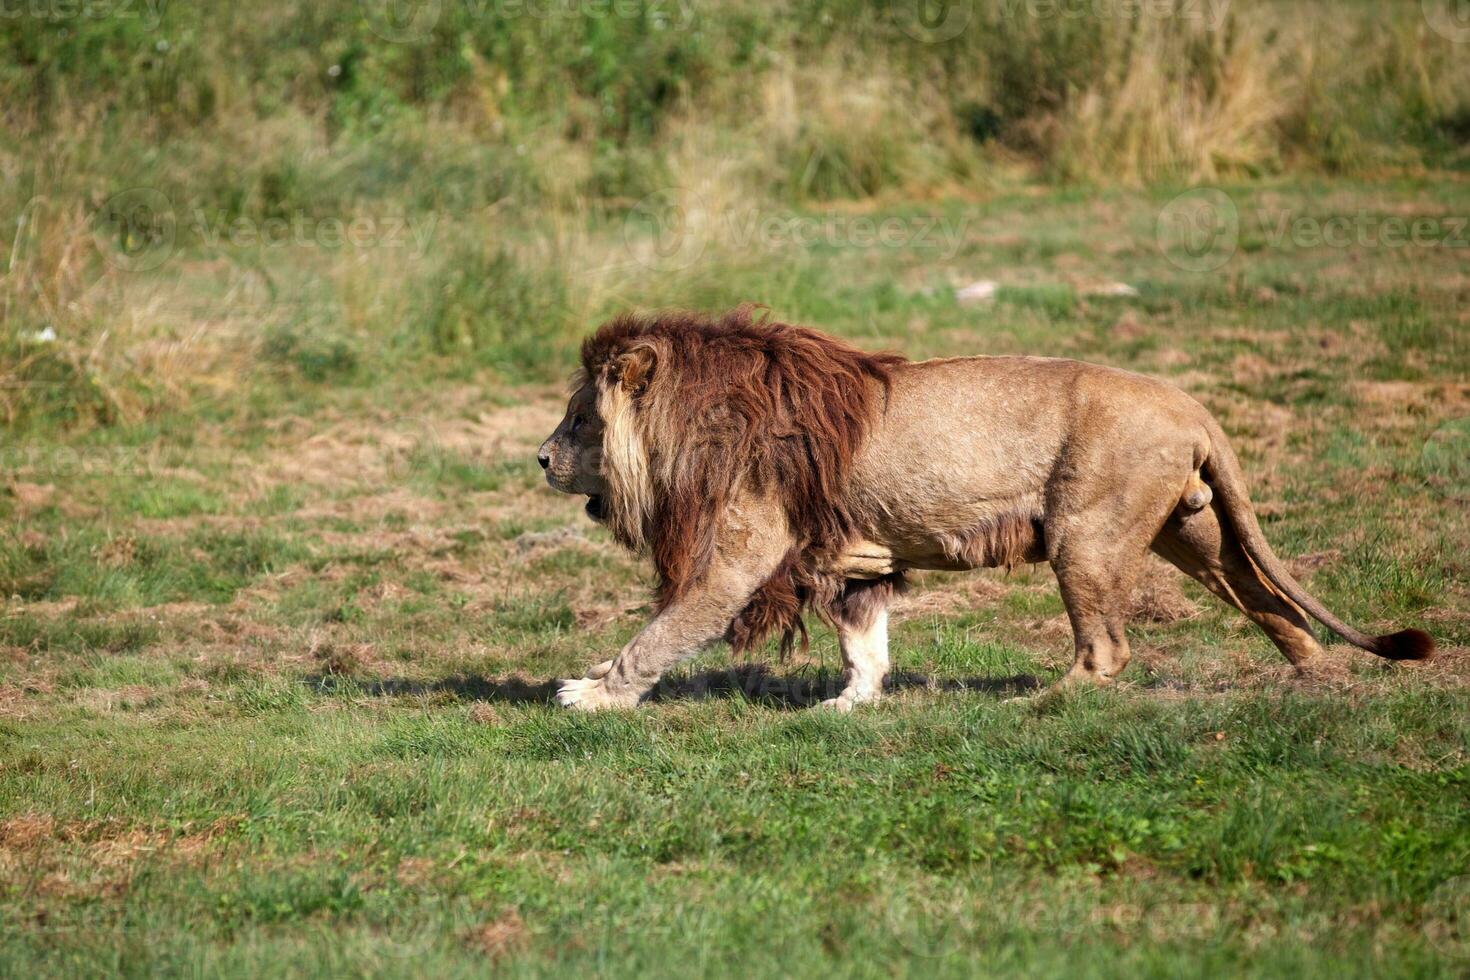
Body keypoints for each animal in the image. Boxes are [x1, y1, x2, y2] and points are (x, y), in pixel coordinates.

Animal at [535, 307, 1428, 714]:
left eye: (579, 419)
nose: (539, 458)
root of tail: (1190, 402)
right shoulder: (850, 556)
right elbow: (864, 640)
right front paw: (850, 706)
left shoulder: (739, 555)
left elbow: (663, 631)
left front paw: (592, 694)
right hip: (1193, 532)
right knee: (1272, 603)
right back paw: (1316, 678)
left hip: (1085, 534)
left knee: (1108, 648)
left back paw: (1039, 703)